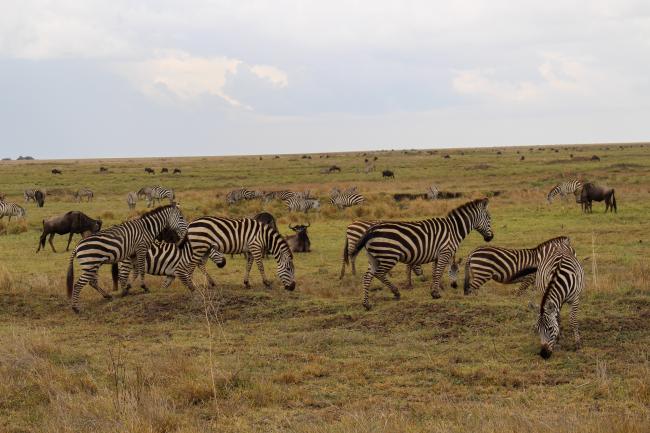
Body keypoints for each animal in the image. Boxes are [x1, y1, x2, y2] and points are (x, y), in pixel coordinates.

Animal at [352, 197, 488, 308]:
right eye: (489, 218)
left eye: (458, 271)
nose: (490, 238)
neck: (453, 230)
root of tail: (371, 231)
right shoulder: (445, 252)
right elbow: (439, 272)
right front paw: (436, 293)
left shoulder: (438, 255)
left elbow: (435, 273)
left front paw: (435, 289)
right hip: (389, 256)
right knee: (379, 274)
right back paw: (396, 292)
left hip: (373, 258)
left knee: (367, 277)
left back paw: (367, 304)